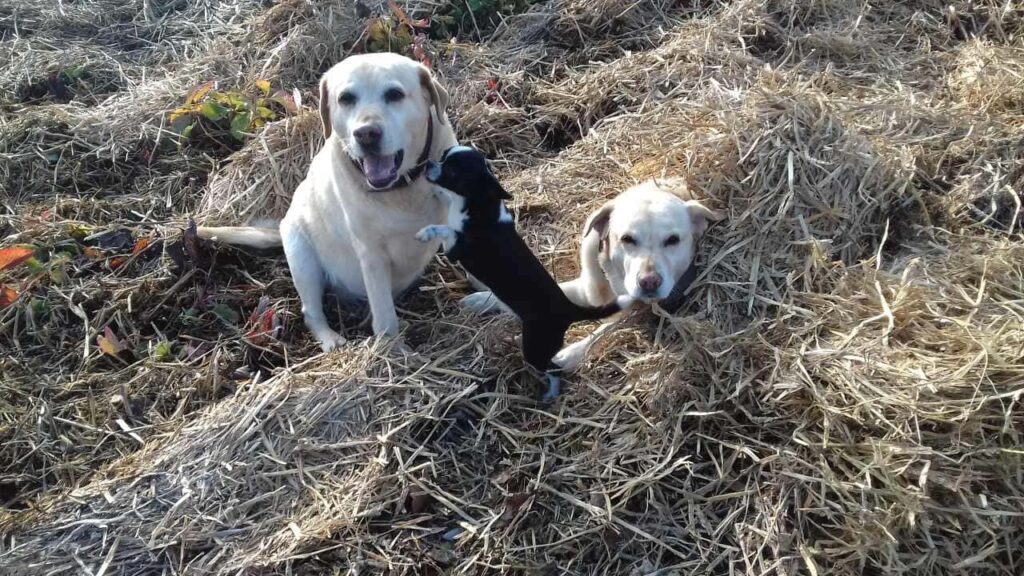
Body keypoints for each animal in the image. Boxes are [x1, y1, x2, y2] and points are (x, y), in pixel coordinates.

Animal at [197, 52, 454, 350]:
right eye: (346, 98)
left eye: (395, 94)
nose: (366, 134)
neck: (402, 188)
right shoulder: (372, 256)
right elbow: (385, 318)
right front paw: (396, 352)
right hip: (302, 259)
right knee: (311, 312)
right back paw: (331, 340)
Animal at [415, 145, 630, 401]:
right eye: (443, 156)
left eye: (453, 171)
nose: (427, 164)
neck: (479, 204)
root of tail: (569, 310)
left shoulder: (456, 249)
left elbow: (447, 230)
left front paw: (426, 232)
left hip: (535, 348)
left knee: (554, 370)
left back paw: (551, 394)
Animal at [460, 177, 724, 366]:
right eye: (627, 239)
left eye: (673, 240)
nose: (649, 282)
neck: (614, 280)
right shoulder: (585, 288)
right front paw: (482, 299)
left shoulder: (636, 312)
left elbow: (603, 330)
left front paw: (569, 353)